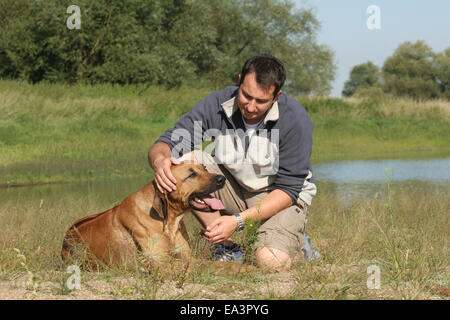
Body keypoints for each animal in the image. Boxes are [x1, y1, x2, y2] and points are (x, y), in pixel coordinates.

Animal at [61, 164, 255, 274]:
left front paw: (245, 267)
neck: (169, 221)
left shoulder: (187, 257)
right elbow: (207, 266)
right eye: (191, 174)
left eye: (204, 169)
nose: (222, 178)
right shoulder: (161, 264)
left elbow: (211, 264)